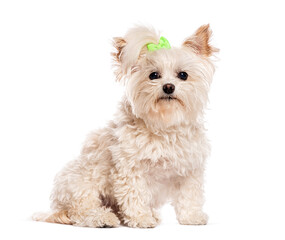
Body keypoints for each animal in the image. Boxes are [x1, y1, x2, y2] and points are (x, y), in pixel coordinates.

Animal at [34, 24, 219, 229]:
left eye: (183, 75)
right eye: (154, 75)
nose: (169, 87)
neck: (164, 124)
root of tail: (57, 206)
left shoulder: (189, 171)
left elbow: (189, 197)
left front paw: (191, 217)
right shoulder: (130, 169)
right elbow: (134, 195)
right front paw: (142, 218)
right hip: (80, 185)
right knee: (80, 212)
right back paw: (103, 218)